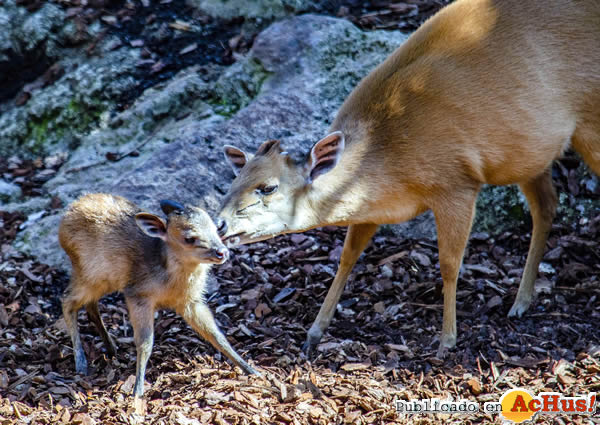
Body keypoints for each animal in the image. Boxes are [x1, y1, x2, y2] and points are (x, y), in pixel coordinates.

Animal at [59, 194, 258, 400]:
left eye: (215, 228)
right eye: (189, 238)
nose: (222, 252)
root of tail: (67, 215)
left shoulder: (191, 302)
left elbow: (216, 335)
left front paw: (252, 370)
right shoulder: (138, 296)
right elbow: (145, 343)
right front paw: (137, 390)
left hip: (102, 280)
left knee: (90, 306)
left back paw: (111, 347)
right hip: (88, 275)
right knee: (67, 301)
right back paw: (81, 362)